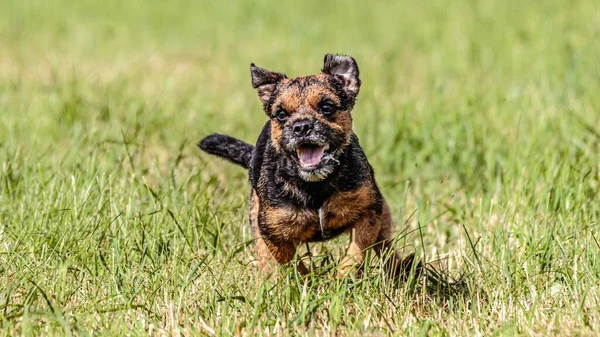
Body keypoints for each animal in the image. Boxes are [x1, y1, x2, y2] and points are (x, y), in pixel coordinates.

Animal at [199, 53, 414, 280]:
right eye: (281, 114)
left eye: (326, 107)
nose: (301, 126)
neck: (315, 184)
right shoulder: (272, 231)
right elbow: (290, 262)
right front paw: (307, 283)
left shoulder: (369, 211)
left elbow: (357, 250)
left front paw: (343, 277)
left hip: (383, 217)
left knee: (386, 248)